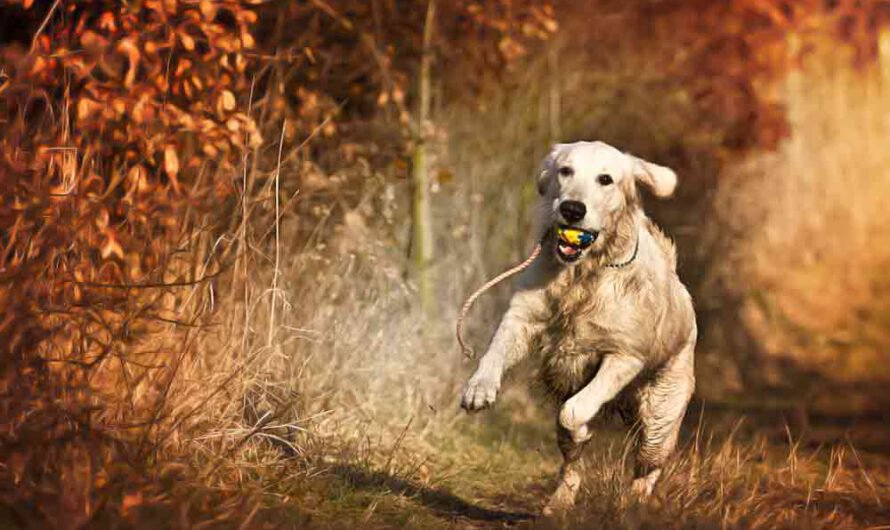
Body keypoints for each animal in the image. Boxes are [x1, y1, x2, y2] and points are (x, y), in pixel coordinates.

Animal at [462, 139, 696, 512]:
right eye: (565, 170)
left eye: (606, 179)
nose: (572, 209)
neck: (583, 274)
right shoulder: (521, 317)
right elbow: (495, 350)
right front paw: (478, 388)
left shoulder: (624, 356)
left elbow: (573, 411)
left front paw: (581, 425)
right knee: (572, 466)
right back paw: (558, 504)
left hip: (659, 418)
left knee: (649, 467)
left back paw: (633, 504)